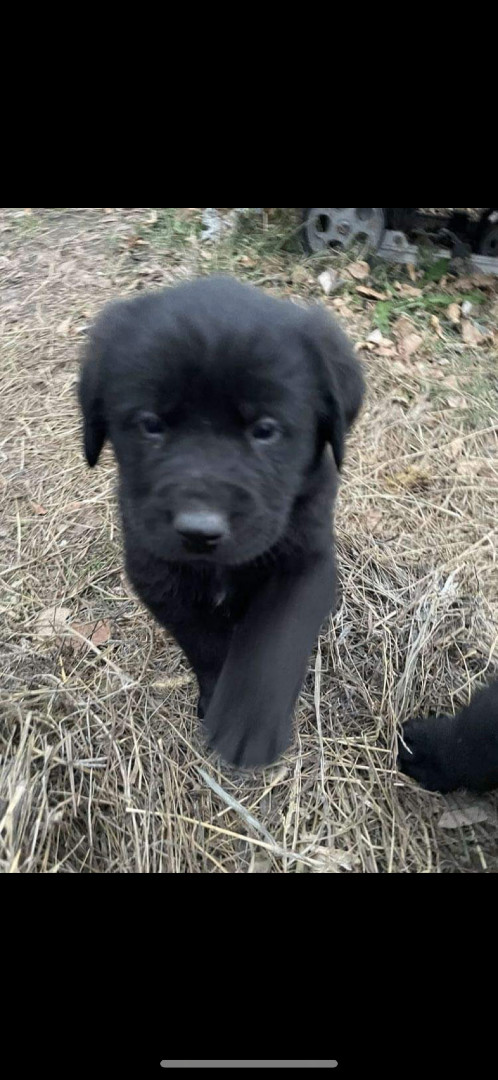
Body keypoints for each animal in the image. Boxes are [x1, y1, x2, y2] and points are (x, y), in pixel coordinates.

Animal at [79, 278, 362, 768]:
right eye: (150, 424)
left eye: (265, 430)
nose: (199, 529)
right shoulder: (157, 573)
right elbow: (204, 642)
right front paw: (218, 700)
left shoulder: (306, 560)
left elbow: (273, 635)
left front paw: (248, 720)